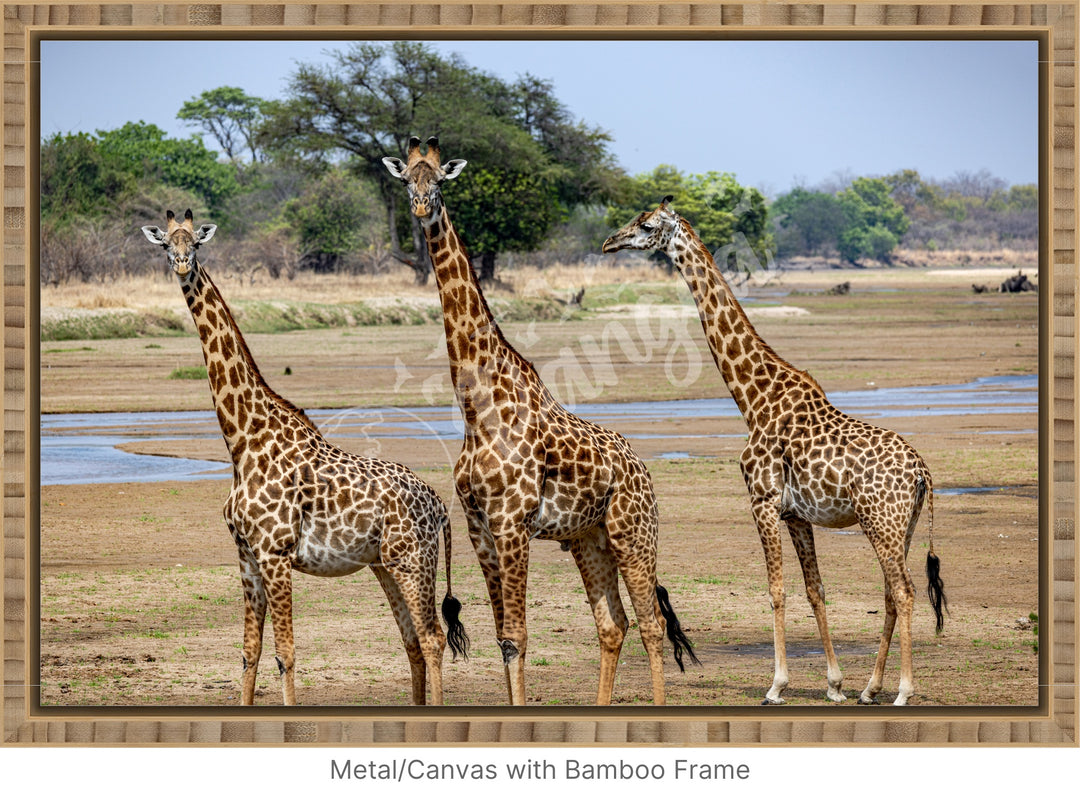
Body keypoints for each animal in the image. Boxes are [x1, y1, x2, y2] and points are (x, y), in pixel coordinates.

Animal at [141, 210, 466, 703]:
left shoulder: (274, 553)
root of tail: (441, 506)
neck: (242, 441)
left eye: (195, 243)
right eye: (165, 245)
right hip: (385, 565)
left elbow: (285, 654)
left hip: (414, 561)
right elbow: (250, 653)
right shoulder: (246, 555)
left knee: (431, 639)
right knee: (411, 640)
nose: (181, 265)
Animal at [384, 139, 695, 708]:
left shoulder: (513, 524)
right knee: (613, 624)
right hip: (590, 539)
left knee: (652, 624)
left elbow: (518, 637)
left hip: (634, 533)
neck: (476, 408)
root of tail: (642, 470)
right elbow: (503, 636)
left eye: (438, 180)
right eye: (406, 179)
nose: (420, 207)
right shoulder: (480, 527)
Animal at [604, 197, 950, 703]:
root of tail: (923, 470)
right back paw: (870, 688)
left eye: (646, 225)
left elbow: (776, 590)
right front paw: (835, 684)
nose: (609, 241)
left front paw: (777, 684)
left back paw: (904, 690)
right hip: (899, 525)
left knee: (903, 591)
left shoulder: (762, 501)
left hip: (881, 521)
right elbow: (815, 590)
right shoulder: (796, 515)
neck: (753, 400)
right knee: (890, 591)